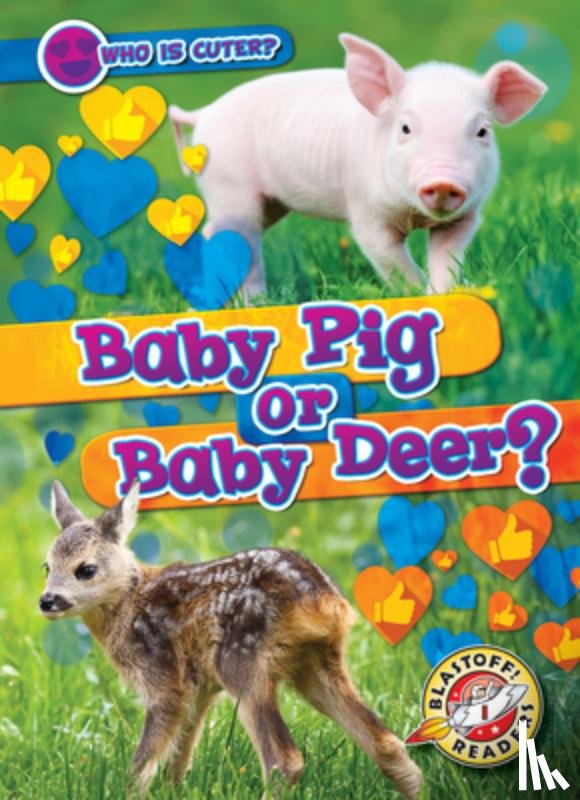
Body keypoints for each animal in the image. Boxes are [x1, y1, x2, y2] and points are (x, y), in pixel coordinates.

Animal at [39, 480, 422, 799]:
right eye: (46, 566)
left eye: (86, 569)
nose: (47, 600)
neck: (130, 604)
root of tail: (320, 599)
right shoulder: (199, 688)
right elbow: (178, 759)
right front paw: (173, 790)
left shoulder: (164, 677)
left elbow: (142, 764)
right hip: (316, 664)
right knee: (387, 742)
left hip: (242, 662)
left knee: (284, 760)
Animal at [169, 33, 547, 297]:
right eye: (405, 128)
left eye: (482, 131)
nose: (443, 180)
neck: (414, 215)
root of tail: (204, 113)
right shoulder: (366, 210)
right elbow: (389, 257)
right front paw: (415, 293)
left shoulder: (465, 217)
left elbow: (447, 257)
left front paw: (448, 292)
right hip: (229, 185)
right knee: (236, 237)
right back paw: (254, 301)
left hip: (268, 202)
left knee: (214, 232)